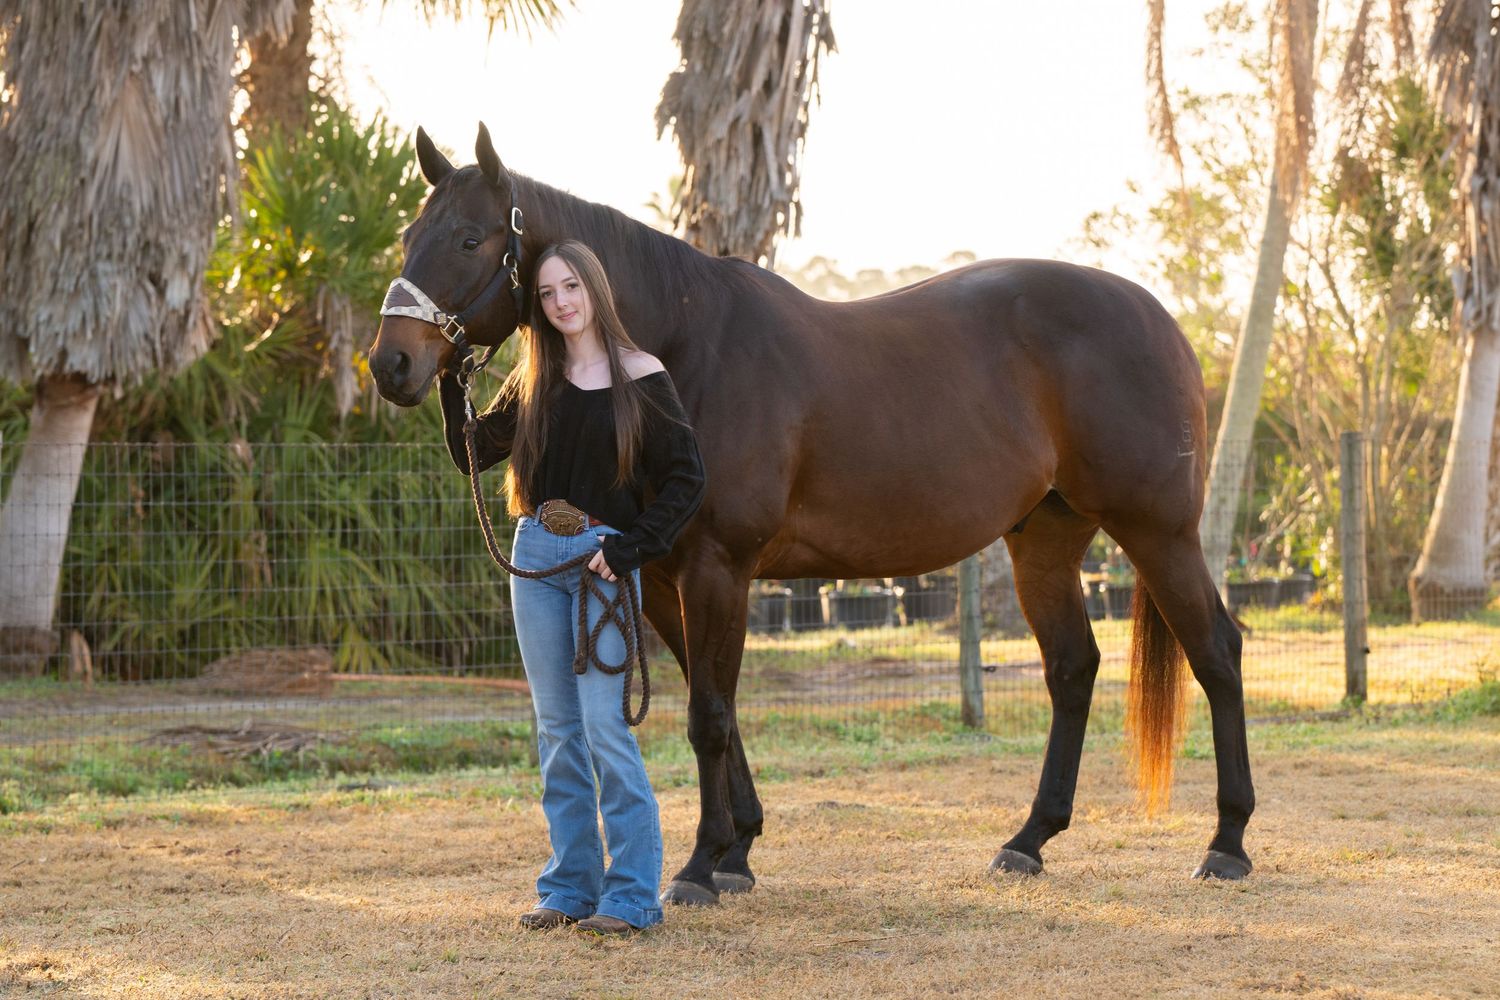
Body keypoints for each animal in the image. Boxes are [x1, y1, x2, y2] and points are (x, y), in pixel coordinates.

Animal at [368, 124, 1255, 904]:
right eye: (411, 233)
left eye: (472, 240)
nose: (392, 365)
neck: (686, 346)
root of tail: (1161, 319)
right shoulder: (655, 574)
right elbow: (716, 705)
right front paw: (738, 850)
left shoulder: (718, 567)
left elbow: (708, 716)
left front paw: (699, 867)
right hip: (1044, 539)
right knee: (1073, 669)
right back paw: (1028, 840)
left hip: (1157, 531)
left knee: (1216, 651)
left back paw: (1227, 844)